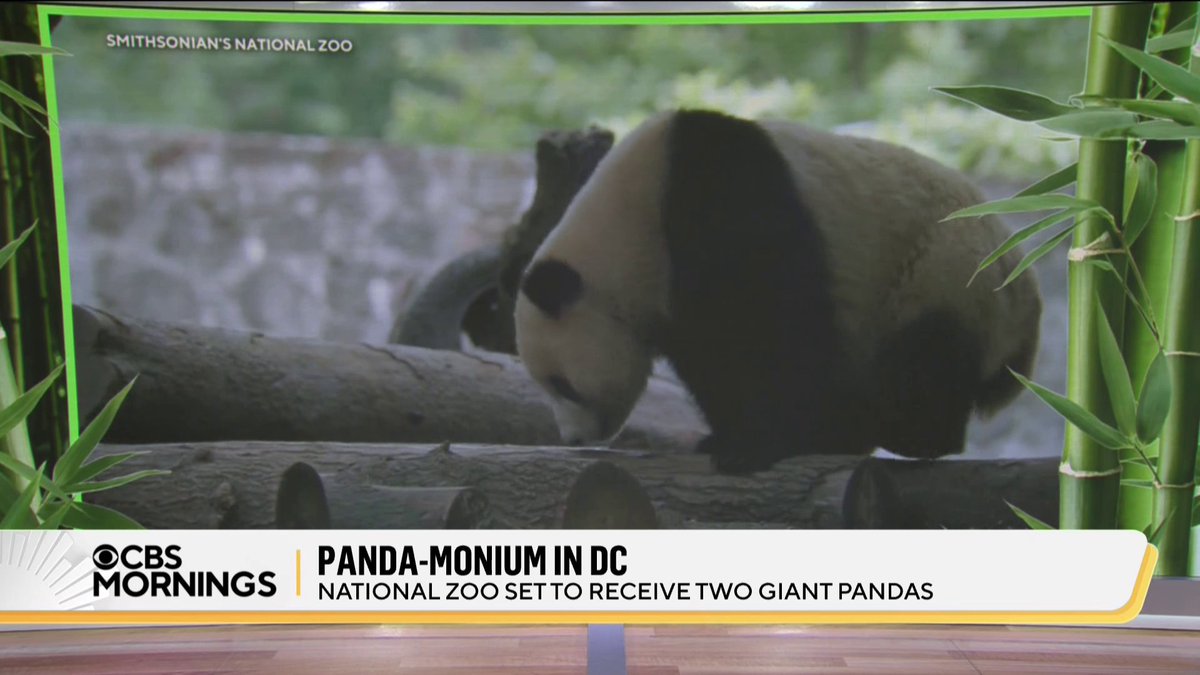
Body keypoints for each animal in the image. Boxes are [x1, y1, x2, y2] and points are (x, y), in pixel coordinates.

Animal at [513, 108, 1043, 475]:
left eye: (561, 384)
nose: (575, 439)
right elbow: (711, 356)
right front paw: (724, 437)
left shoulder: (725, 201)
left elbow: (776, 329)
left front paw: (758, 445)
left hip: (946, 270)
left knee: (925, 356)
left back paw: (888, 432)